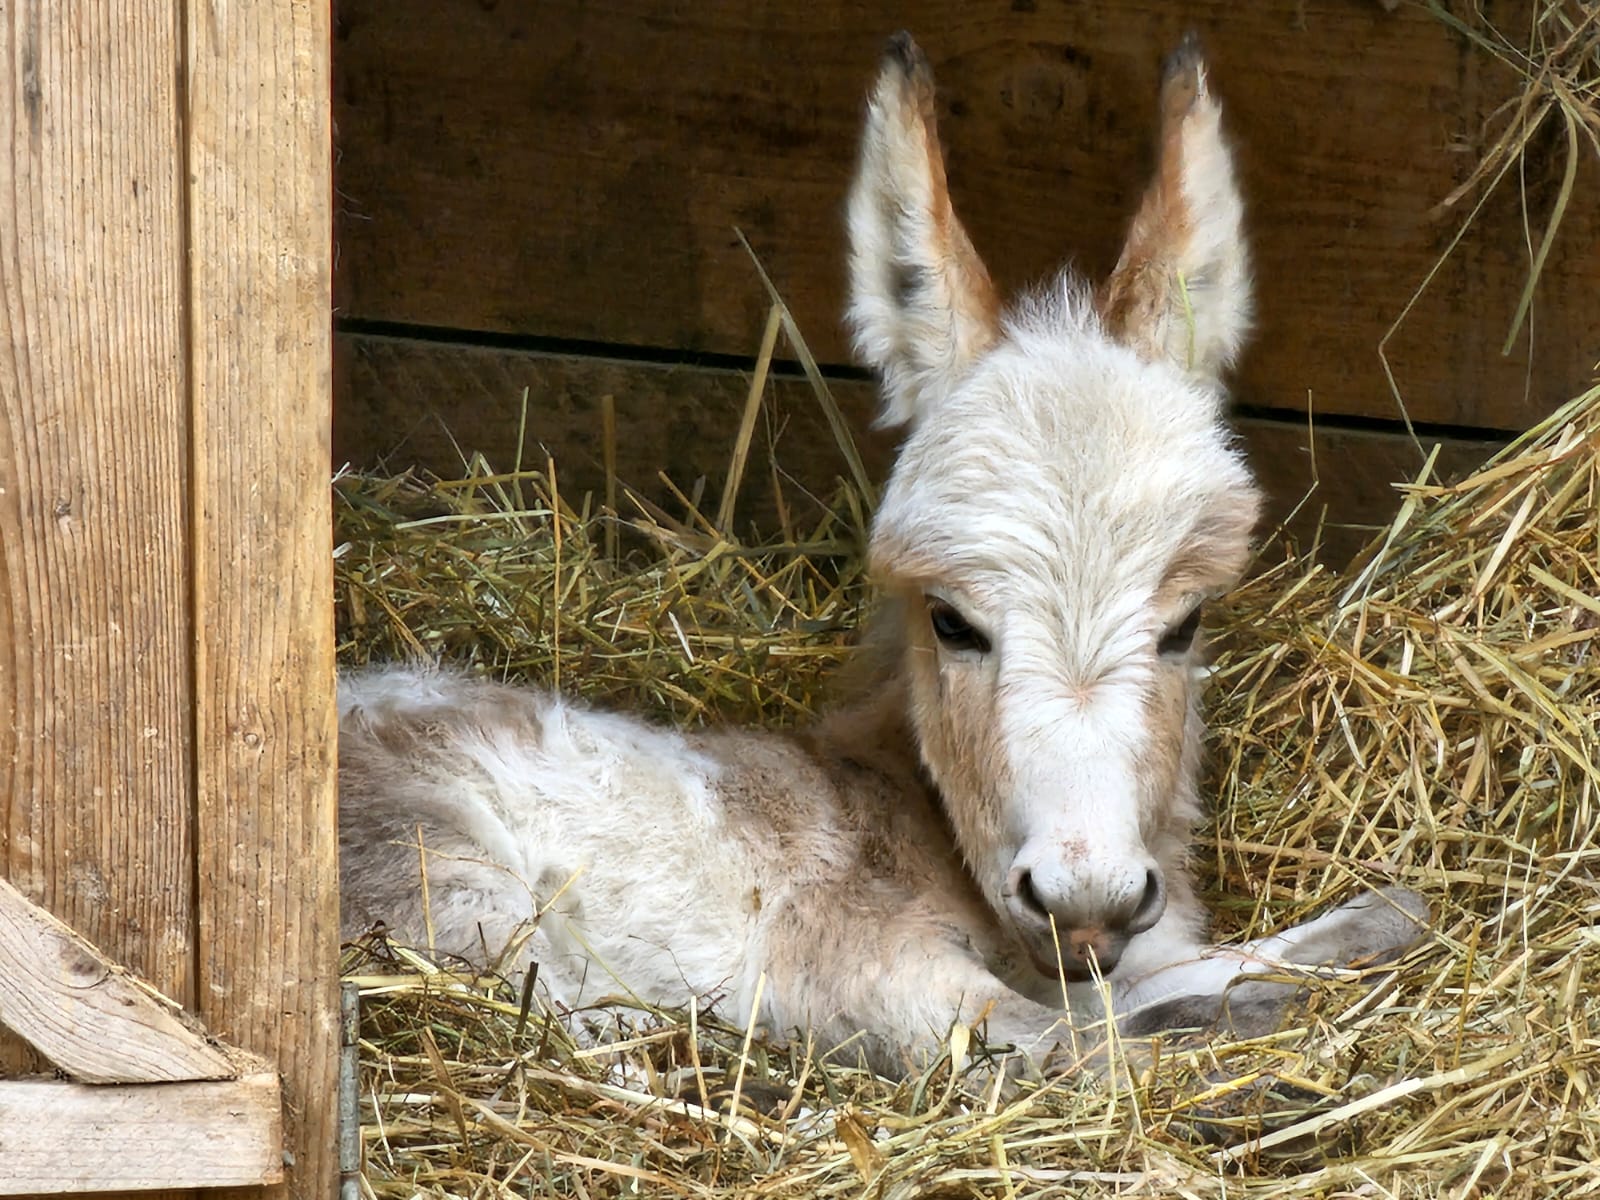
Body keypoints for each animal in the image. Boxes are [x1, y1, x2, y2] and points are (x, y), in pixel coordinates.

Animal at [338, 32, 1427, 1077]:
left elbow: (1281, 944)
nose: (1085, 906)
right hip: (453, 882)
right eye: (952, 622)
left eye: (1186, 624)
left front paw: (1371, 928)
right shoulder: (872, 969)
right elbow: (1078, 1052)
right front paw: (1252, 1032)